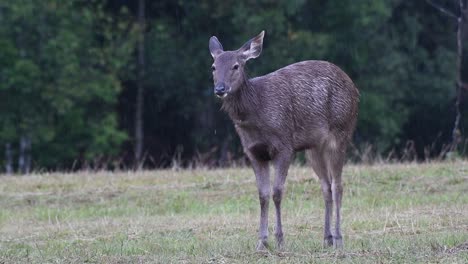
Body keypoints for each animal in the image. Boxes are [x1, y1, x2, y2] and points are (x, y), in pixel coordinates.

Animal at [208, 29, 358, 251]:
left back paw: (338, 238)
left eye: (236, 66)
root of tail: (355, 89)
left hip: (341, 132)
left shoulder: (284, 145)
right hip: (314, 148)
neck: (256, 112)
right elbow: (262, 195)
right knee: (326, 186)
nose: (220, 89)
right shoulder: (253, 151)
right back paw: (327, 237)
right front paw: (261, 242)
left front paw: (279, 239)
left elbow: (277, 192)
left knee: (337, 186)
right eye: (213, 67)